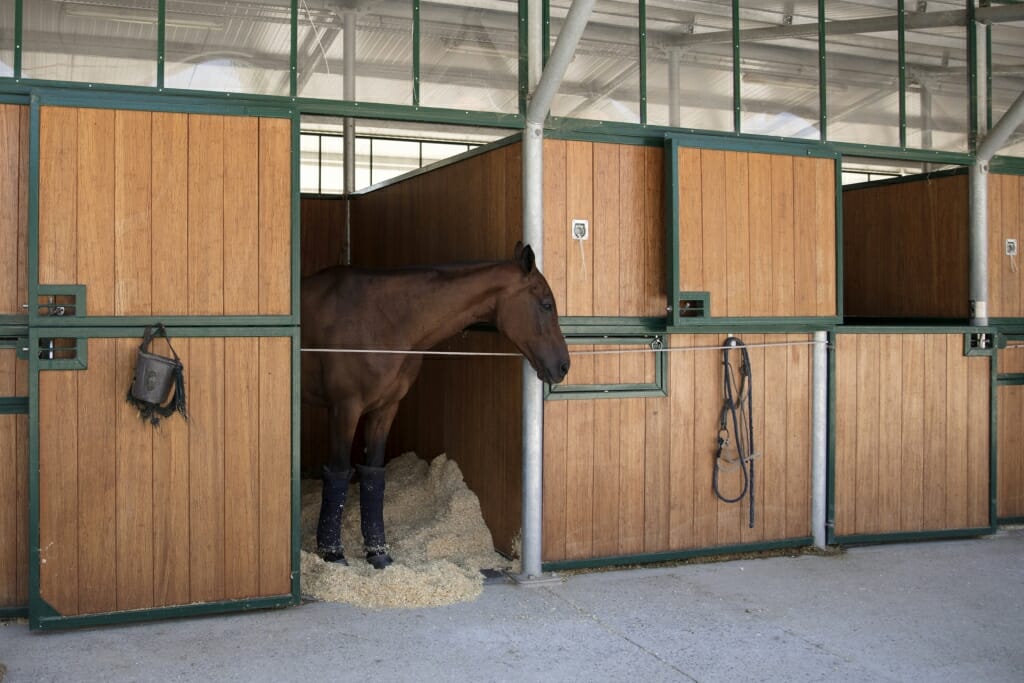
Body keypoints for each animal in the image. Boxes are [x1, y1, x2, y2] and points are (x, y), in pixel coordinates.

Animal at [299, 242, 573, 569]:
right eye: (546, 304)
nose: (563, 365)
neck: (381, 317)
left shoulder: (385, 407)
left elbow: (373, 473)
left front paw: (378, 553)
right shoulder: (345, 408)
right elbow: (339, 471)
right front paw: (332, 553)